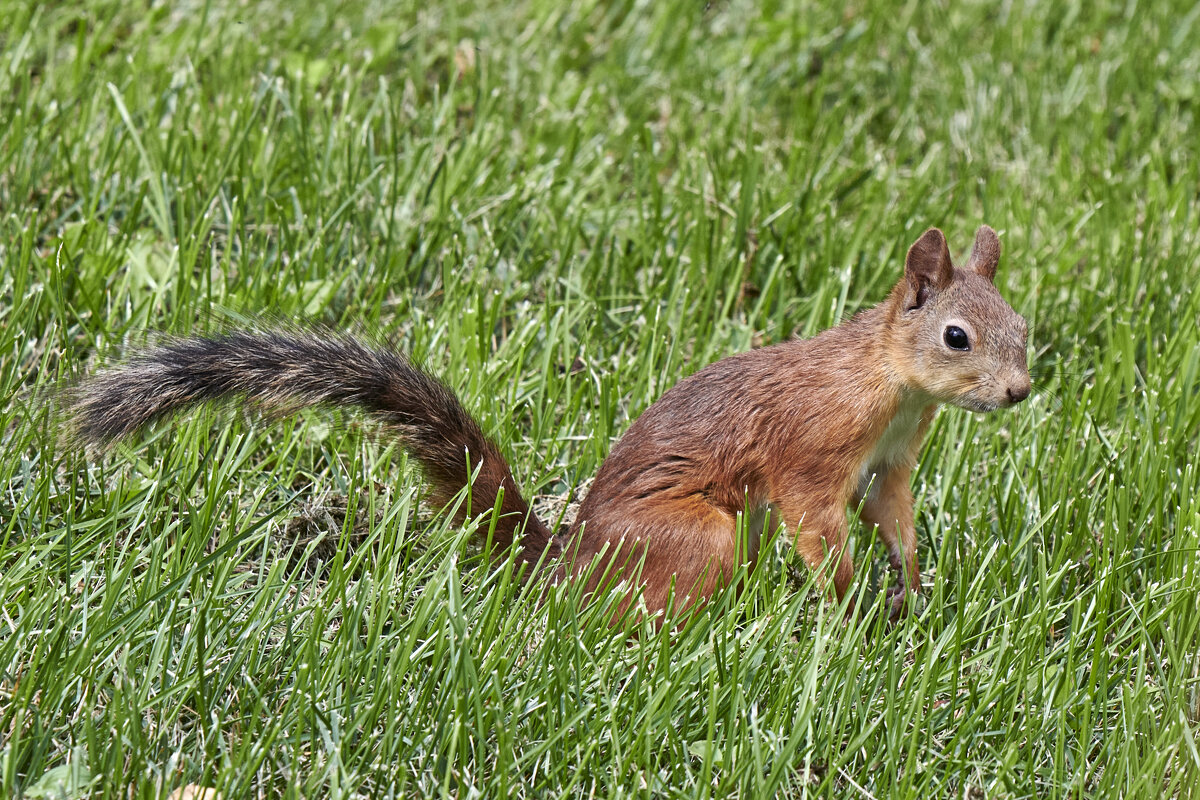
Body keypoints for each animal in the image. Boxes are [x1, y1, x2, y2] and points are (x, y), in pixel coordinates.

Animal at [68, 227, 1032, 623]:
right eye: (957, 335)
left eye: (1021, 325)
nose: (1020, 392)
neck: (891, 384)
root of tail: (570, 563)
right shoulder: (812, 452)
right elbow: (820, 527)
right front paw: (854, 607)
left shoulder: (893, 461)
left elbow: (893, 519)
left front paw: (913, 585)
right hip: (700, 535)